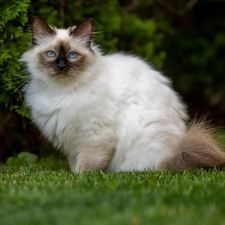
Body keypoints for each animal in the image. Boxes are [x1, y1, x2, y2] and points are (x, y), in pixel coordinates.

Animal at [20, 17, 225, 172]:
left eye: (72, 55)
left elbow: (86, 166)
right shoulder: (70, 142)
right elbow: (74, 163)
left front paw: (77, 179)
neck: (62, 91)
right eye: (51, 54)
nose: (61, 66)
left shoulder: (96, 136)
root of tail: (174, 153)